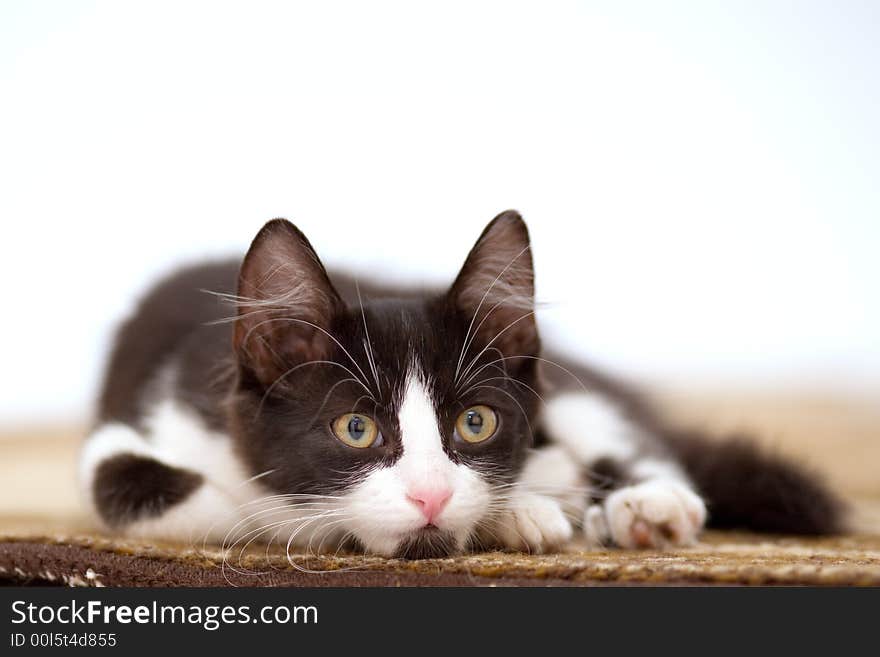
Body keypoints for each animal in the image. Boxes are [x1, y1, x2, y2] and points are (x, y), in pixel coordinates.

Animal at [79, 213, 844, 556]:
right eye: (356, 427)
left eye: (475, 421)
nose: (431, 494)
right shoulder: (136, 430)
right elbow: (216, 506)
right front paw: (527, 508)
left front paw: (532, 499)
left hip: (572, 386)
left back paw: (644, 506)